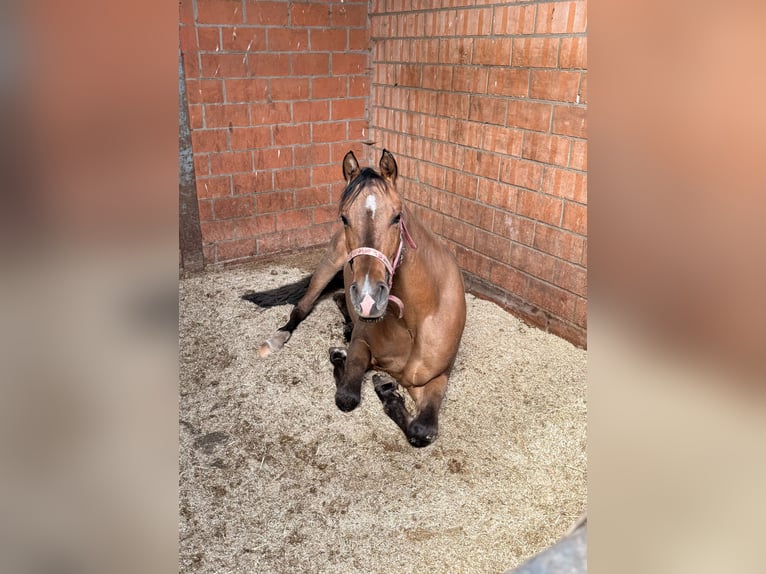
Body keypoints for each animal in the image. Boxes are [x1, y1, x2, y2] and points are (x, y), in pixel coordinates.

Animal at [254, 150, 466, 447]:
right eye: (344, 218)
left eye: (397, 217)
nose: (368, 299)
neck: (414, 323)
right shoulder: (361, 346)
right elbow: (346, 397)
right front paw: (343, 359)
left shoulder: (436, 377)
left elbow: (422, 431)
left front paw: (388, 394)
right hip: (328, 266)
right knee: (302, 307)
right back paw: (277, 339)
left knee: (338, 298)